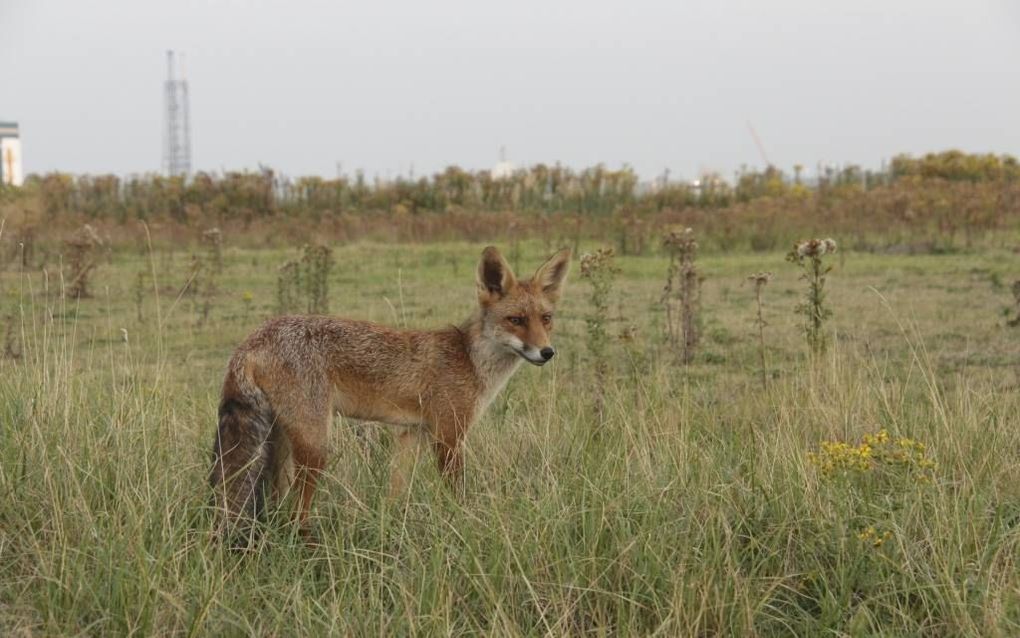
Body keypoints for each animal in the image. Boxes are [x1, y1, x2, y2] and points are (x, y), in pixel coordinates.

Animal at [210, 246, 571, 538]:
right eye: (516, 320)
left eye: (546, 319)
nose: (547, 352)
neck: (469, 361)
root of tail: (253, 337)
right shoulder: (449, 437)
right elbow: (458, 496)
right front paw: (463, 525)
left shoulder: (410, 434)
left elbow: (396, 493)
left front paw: (392, 529)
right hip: (316, 446)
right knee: (297, 512)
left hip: (282, 442)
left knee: (274, 500)